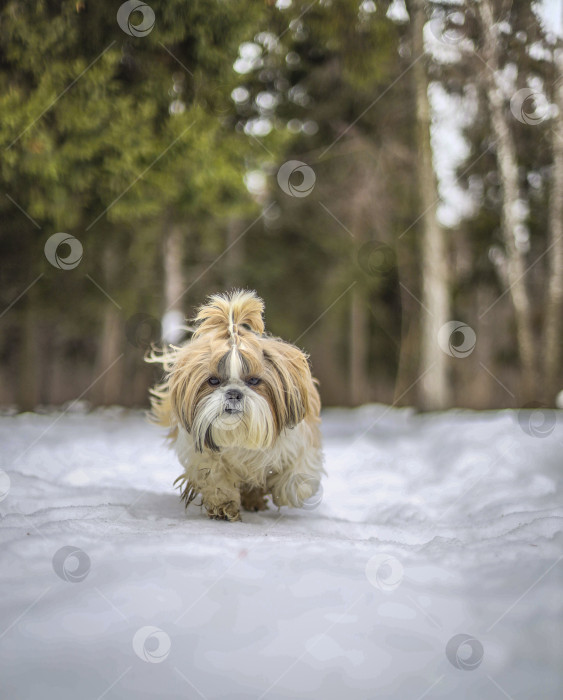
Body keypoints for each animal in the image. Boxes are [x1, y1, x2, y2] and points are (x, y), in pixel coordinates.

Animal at [149, 288, 326, 520]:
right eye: (213, 381)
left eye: (254, 381)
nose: (233, 393)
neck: (240, 435)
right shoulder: (202, 452)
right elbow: (214, 475)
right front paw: (223, 505)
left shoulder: (300, 443)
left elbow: (296, 477)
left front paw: (284, 491)